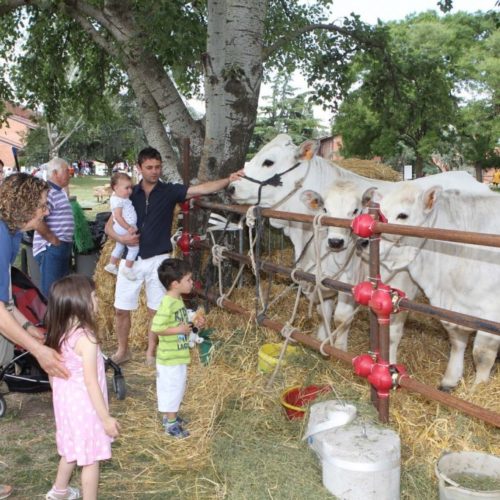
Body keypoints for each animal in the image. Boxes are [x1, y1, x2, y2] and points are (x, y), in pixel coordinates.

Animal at [378, 182, 500, 388]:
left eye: (403, 215)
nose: (362, 242)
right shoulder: (454, 312)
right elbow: (457, 342)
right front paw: (450, 380)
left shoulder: (491, 314)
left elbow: (482, 355)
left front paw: (477, 388)